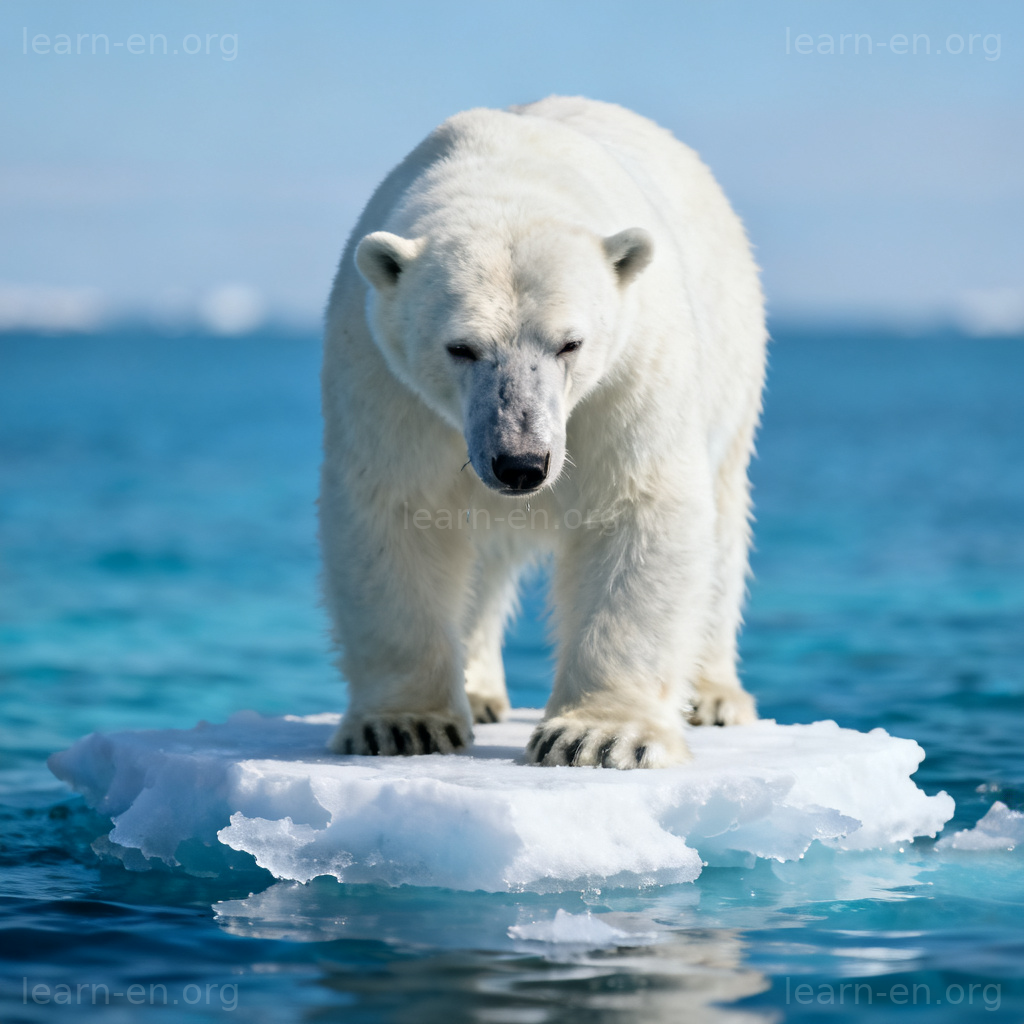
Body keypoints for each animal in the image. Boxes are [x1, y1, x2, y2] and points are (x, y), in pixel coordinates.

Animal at [320, 96, 766, 769]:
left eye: (569, 343)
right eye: (460, 347)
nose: (521, 463)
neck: (508, 171)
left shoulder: (628, 371)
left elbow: (634, 507)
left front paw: (598, 736)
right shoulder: (384, 378)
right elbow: (396, 512)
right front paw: (403, 726)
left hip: (733, 361)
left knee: (721, 522)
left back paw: (711, 696)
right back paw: (478, 690)